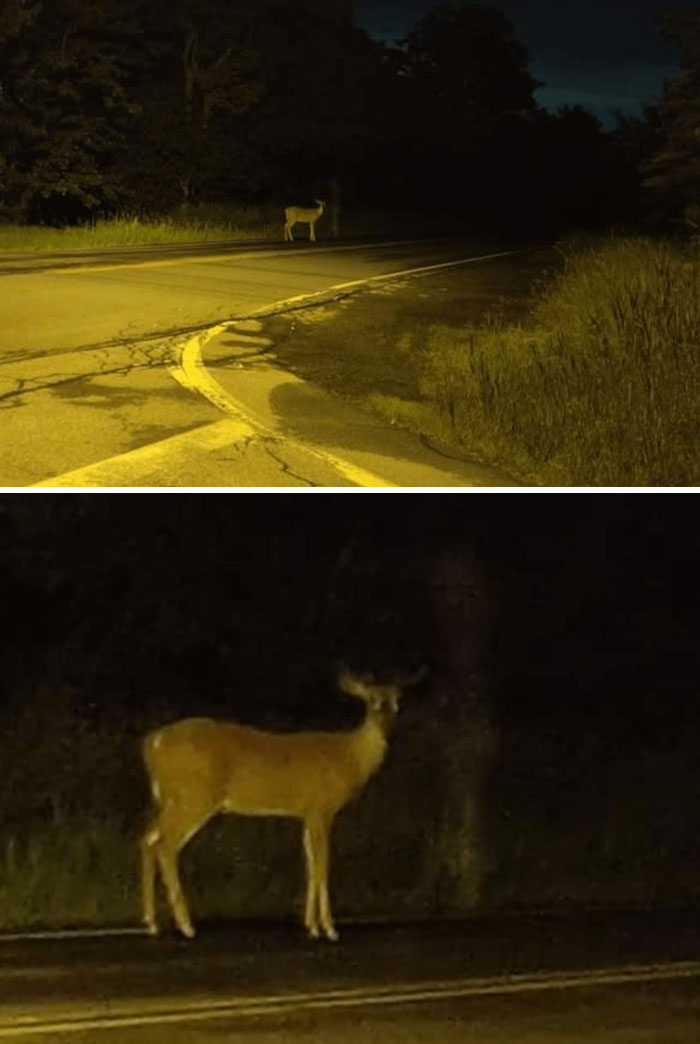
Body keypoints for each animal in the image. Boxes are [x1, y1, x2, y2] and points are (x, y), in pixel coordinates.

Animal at [140, 664, 428, 942]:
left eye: (397, 702)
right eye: (371, 701)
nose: (386, 728)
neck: (349, 758)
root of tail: (153, 742)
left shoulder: (307, 814)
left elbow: (311, 865)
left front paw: (311, 926)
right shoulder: (321, 808)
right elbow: (322, 865)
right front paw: (329, 929)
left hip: (169, 799)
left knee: (148, 839)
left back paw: (152, 923)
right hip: (195, 797)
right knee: (165, 845)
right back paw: (186, 926)